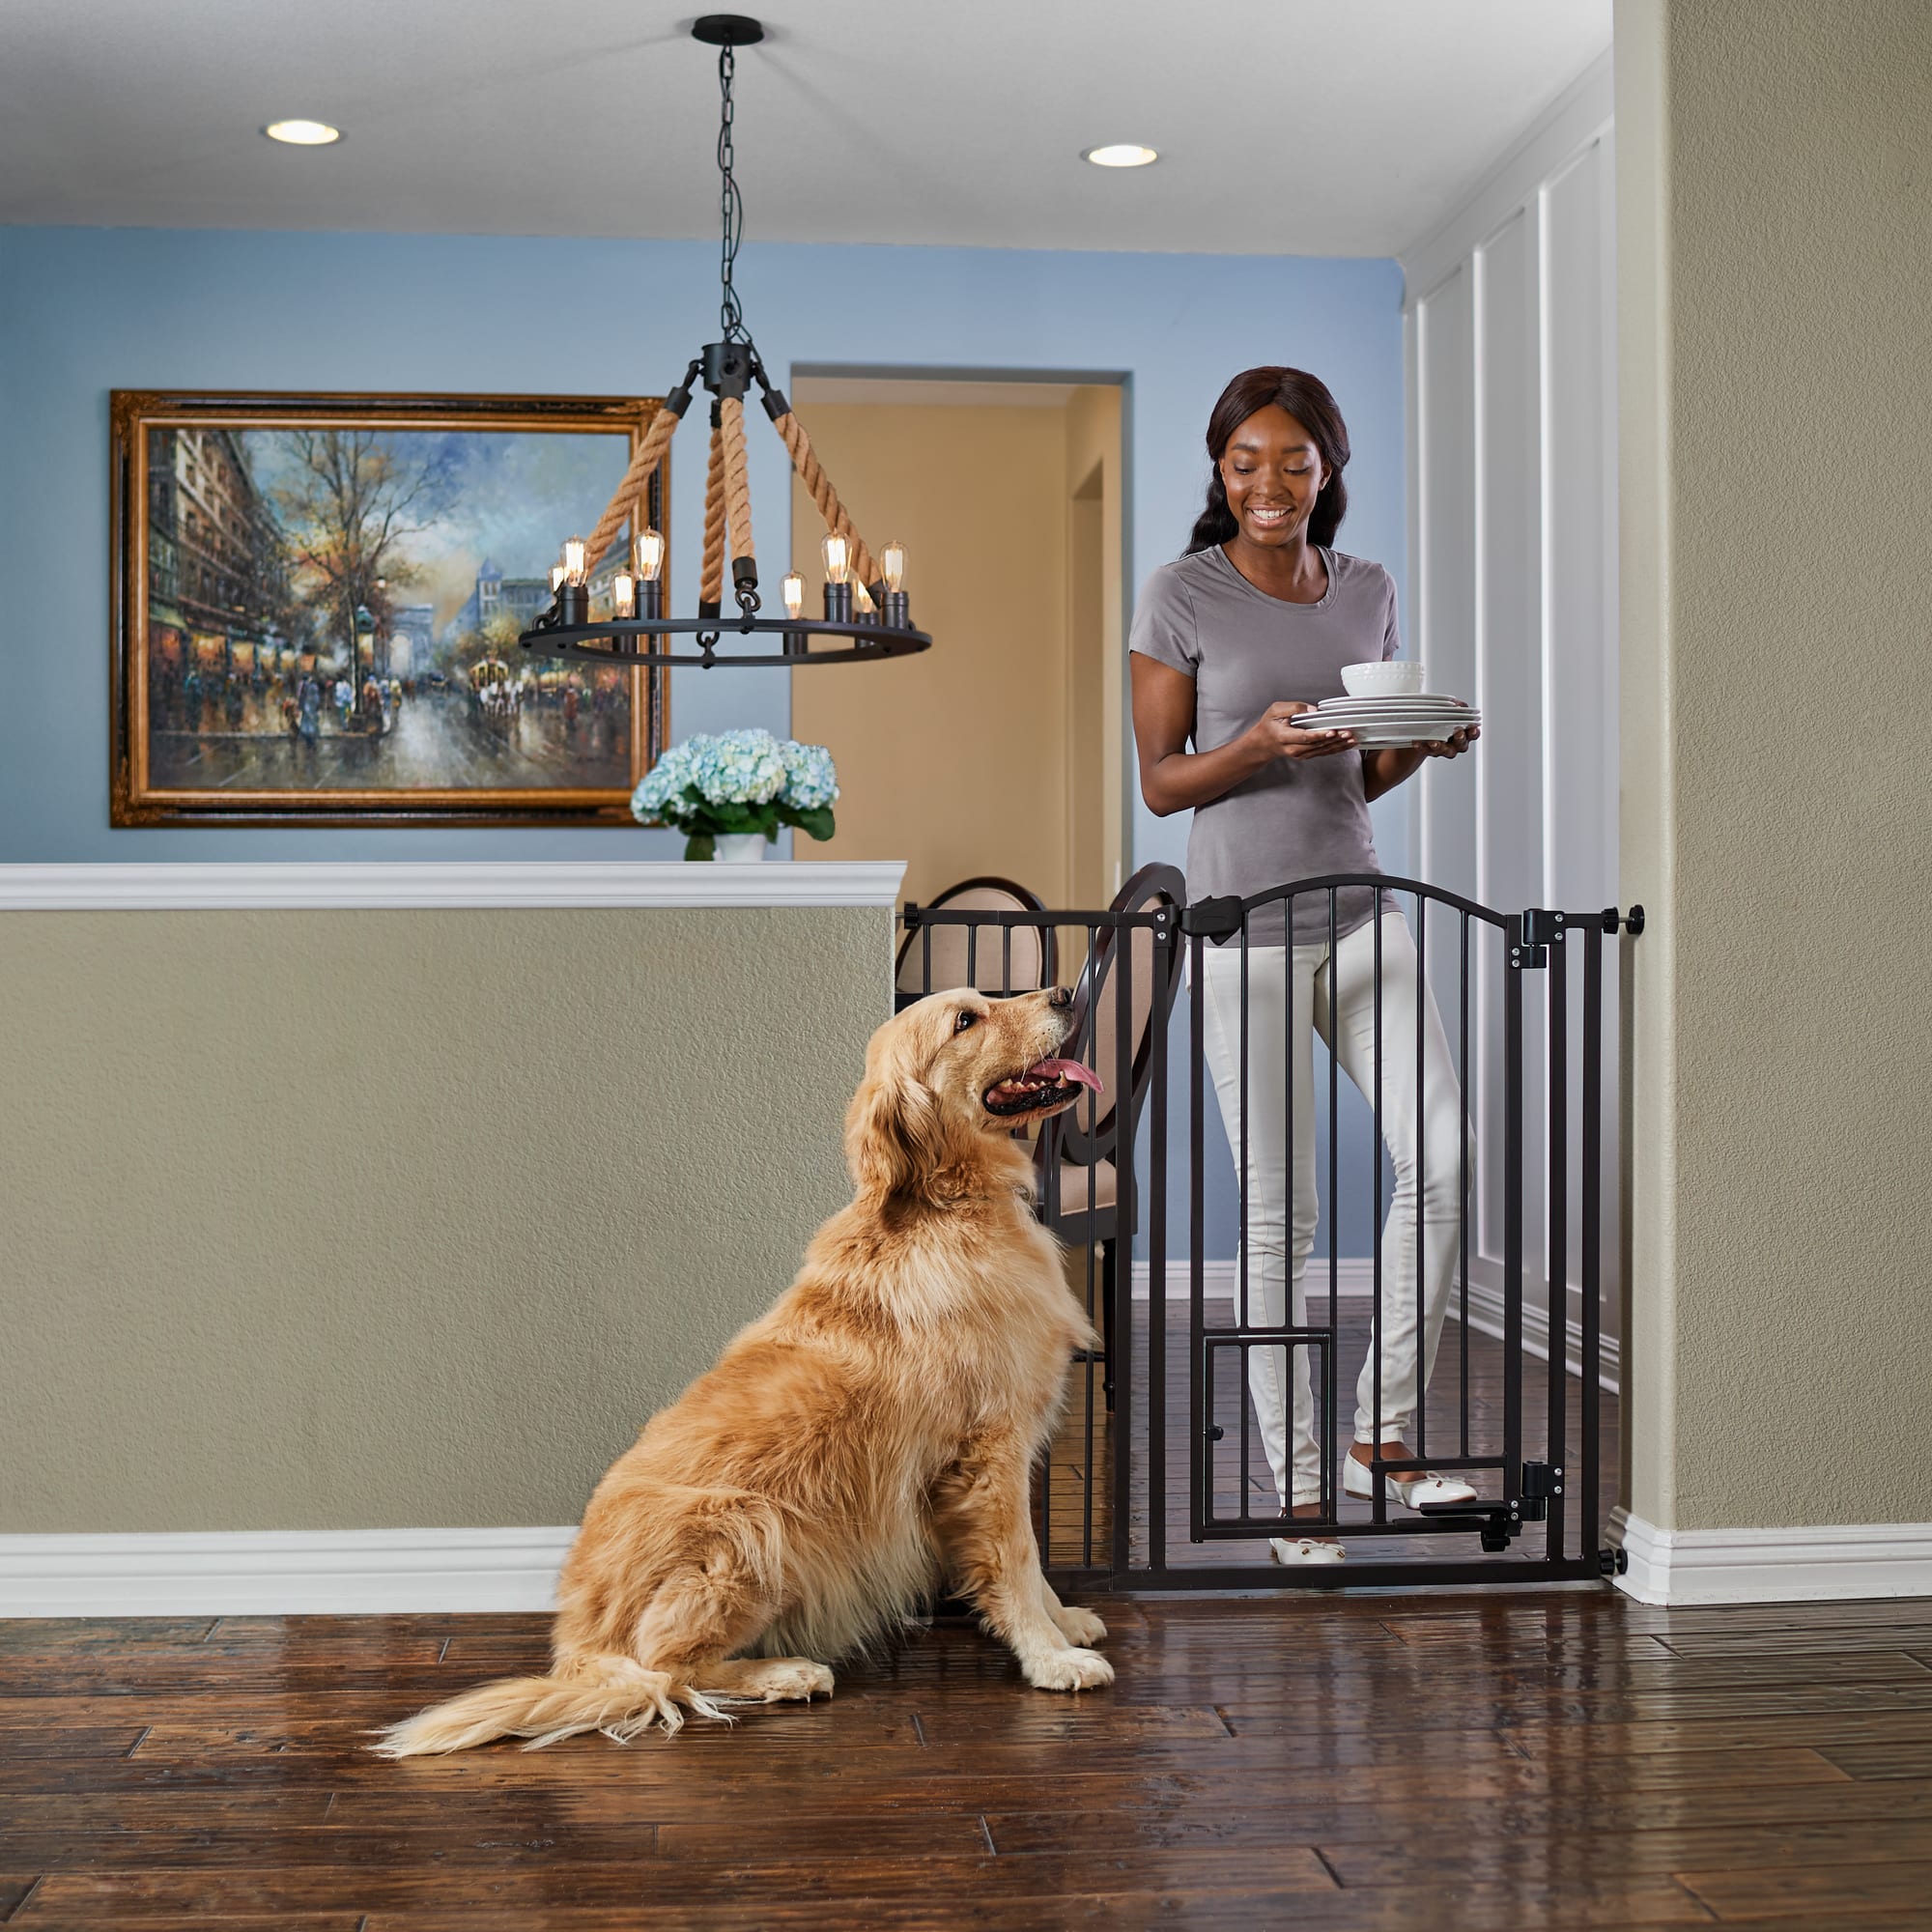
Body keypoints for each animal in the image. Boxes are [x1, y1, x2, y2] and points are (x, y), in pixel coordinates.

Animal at [373, 989, 1121, 1762]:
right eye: (965, 1020)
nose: (1066, 994)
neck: (950, 1205)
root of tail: (577, 1650)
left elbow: (1035, 1567)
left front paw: (1066, 1623)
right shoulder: (988, 1452)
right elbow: (1017, 1562)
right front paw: (1051, 1658)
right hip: (751, 1522)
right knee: (663, 1671)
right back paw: (787, 1672)